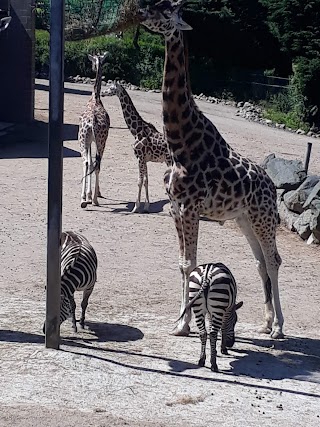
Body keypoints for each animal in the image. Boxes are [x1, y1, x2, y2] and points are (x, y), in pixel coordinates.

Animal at [104, 81, 171, 213]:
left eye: (111, 88)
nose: (103, 93)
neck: (135, 130)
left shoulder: (140, 158)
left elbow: (139, 181)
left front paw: (136, 207)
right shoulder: (145, 159)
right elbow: (146, 181)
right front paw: (146, 206)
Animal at [139, 0, 284, 342]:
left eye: (167, 11)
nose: (139, 13)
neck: (179, 143)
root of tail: (272, 187)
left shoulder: (191, 207)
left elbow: (191, 263)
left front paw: (185, 323)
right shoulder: (175, 208)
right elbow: (182, 263)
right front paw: (179, 321)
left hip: (263, 218)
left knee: (273, 260)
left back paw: (279, 328)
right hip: (245, 219)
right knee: (260, 262)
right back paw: (266, 322)